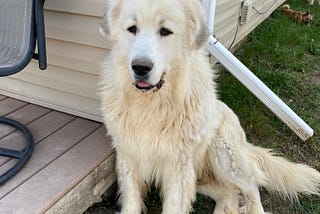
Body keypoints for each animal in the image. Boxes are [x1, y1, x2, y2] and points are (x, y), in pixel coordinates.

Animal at [99, 0, 320, 213]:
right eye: (132, 29)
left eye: (165, 31)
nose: (140, 67)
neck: (151, 104)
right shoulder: (128, 157)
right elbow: (132, 201)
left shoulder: (177, 166)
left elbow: (173, 206)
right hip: (200, 176)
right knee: (229, 194)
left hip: (224, 155)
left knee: (251, 188)